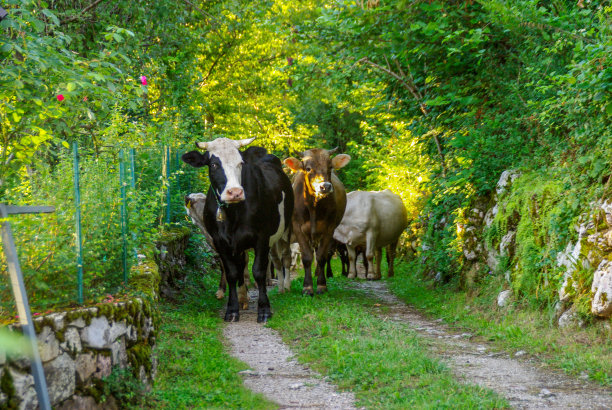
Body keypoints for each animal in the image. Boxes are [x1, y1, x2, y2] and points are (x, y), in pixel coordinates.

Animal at [180, 138, 292, 324]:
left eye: (240, 163)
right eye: (214, 164)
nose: (235, 192)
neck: (233, 213)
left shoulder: (262, 238)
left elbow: (258, 271)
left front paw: (264, 310)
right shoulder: (220, 242)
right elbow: (232, 272)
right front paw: (232, 309)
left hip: (285, 231)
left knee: (282, 259)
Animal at [282, 147, 350, 294]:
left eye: (330, 167)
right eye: (308, 168)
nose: (325, 187)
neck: (313, 207)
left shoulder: (329, 229)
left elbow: (322, 256)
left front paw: (321, 285)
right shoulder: (298, 228)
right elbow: (307, 257)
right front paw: (307, 287)